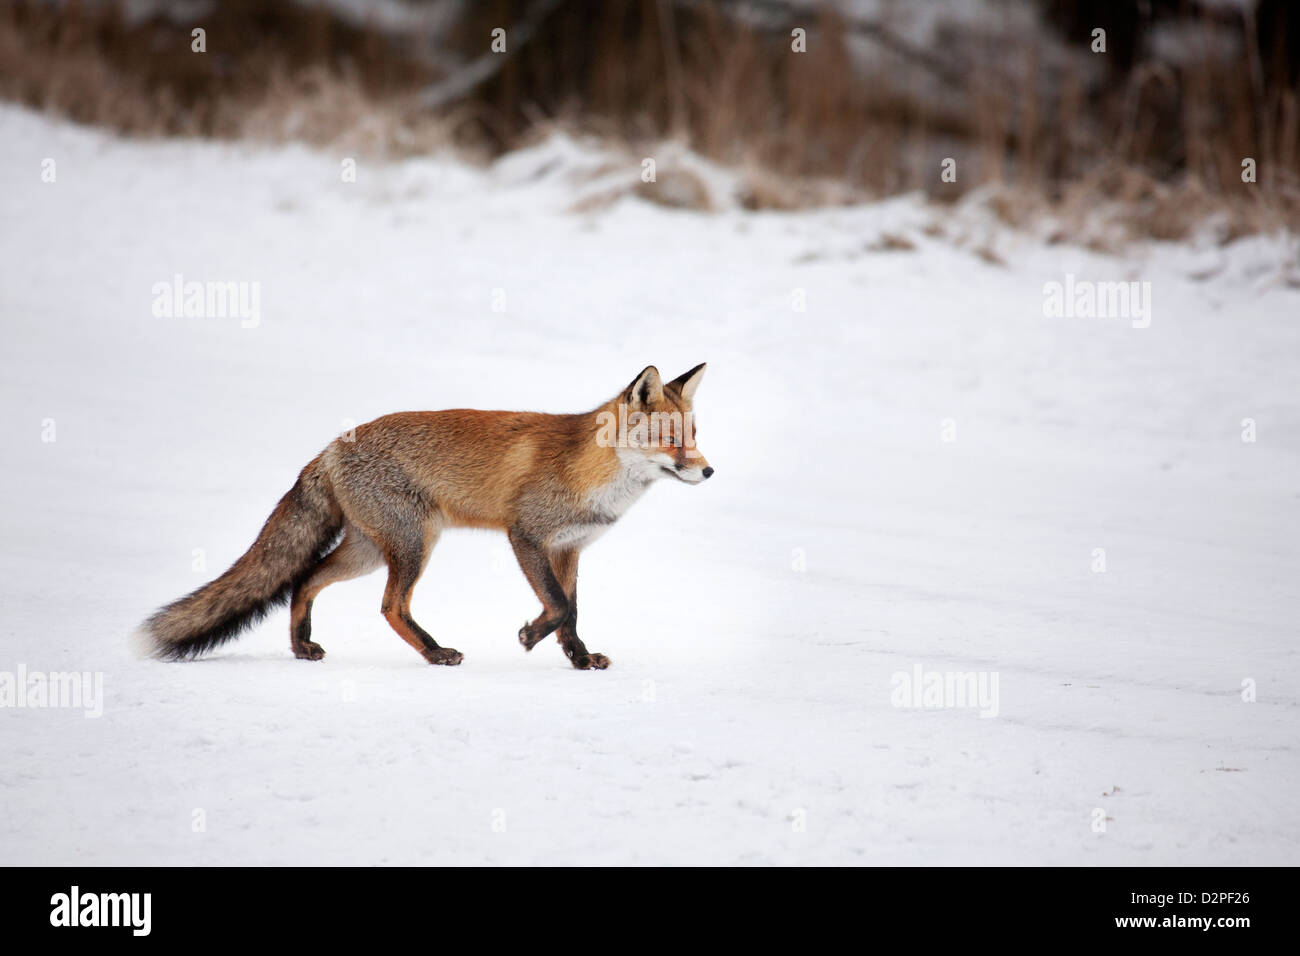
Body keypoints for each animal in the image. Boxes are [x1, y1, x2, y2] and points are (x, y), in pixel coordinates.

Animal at [138, 364, 712, 670]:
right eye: (670, 440)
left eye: (694, 434)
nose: (709, 471)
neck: (592, 474)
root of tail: (331, 448)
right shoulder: (526, 535)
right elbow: (558, 607)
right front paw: (530, 638)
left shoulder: (568, 548)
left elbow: (570, 612)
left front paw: (579, 660)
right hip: (414, 544)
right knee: (391, 605)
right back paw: (435, 654)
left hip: (369, 551)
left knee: (304, 579)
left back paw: (301, 646)